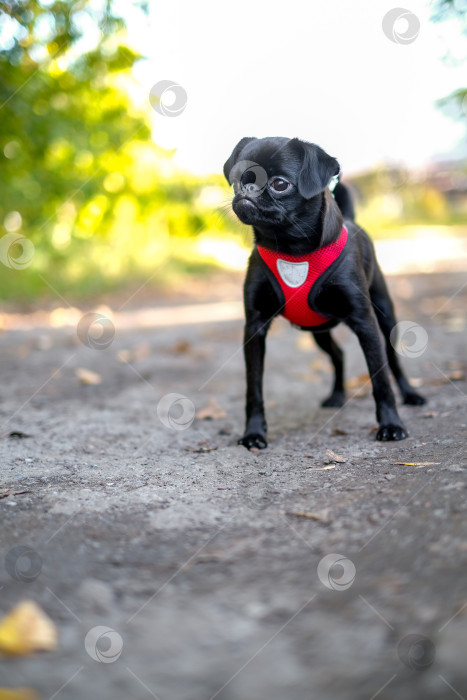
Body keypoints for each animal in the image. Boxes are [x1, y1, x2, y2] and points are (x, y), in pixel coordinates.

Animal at [225, 138, 426, 448]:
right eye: (236, 181)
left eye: (279, 184)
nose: (246, 190)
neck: (292, 249)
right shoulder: (255, 328)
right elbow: (253, 387)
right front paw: (253, 433)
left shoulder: (365, 323)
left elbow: (380, 379)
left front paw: (391, 425)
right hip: (316, 331)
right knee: (338, 354)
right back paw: (337, 395)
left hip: (385, 317)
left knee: (393, 361)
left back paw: (410, 394)